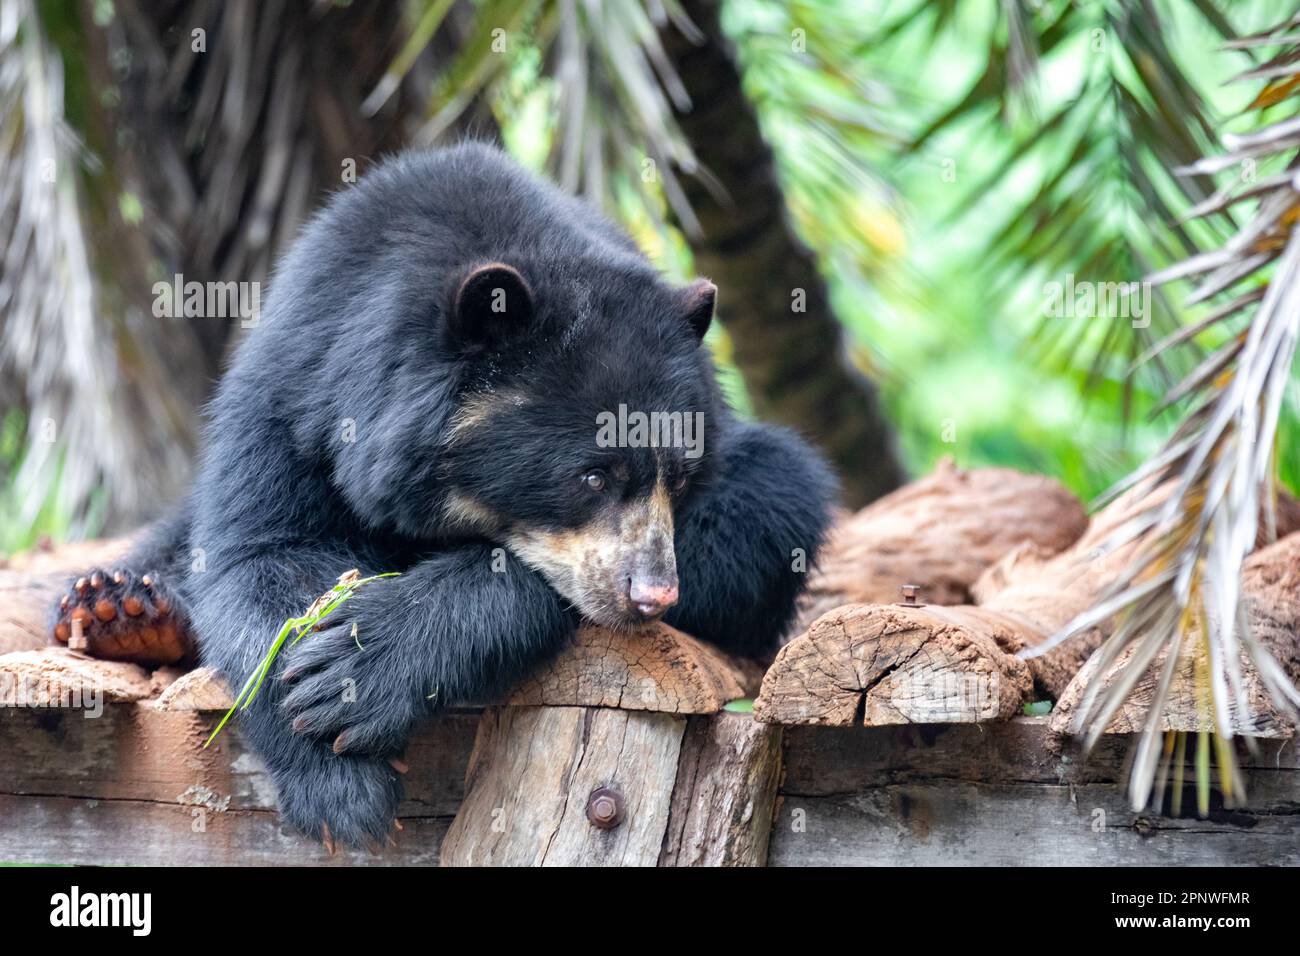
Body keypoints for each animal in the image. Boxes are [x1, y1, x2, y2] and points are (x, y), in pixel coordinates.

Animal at [51, 143, 838, 849]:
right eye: (590, 477)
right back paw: (122, 608)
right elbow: (262, 555)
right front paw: (339, 789)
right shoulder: (293, 397)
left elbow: (766, 506)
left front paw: (353, 675)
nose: (651, 597)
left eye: (677, 476)